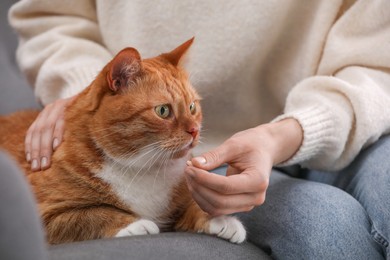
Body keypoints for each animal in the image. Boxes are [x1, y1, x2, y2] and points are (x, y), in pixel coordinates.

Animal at [0, 38, 245, 244]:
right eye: (163, 111)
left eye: (192, 107)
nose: (194, 131)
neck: (144, 169)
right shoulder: (45, 215)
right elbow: (92, 214)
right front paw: (135, 224)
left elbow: (194, 207)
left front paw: (222, 220)